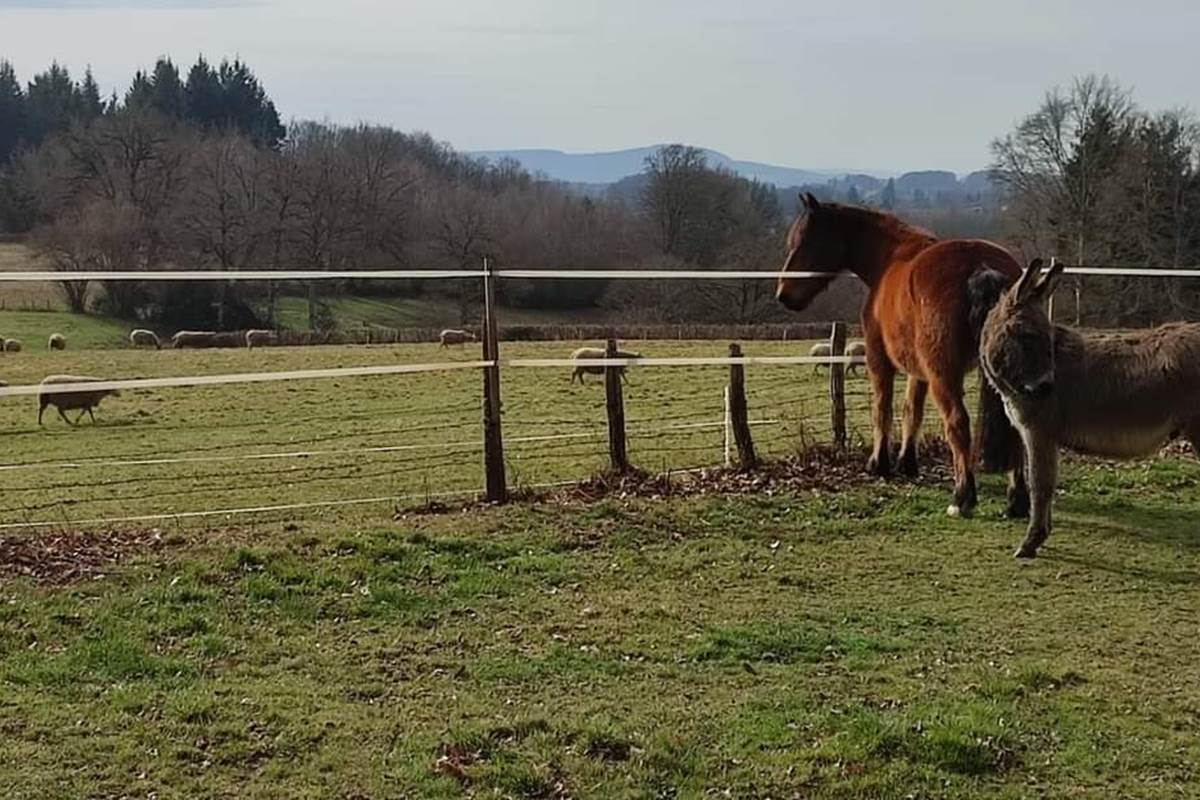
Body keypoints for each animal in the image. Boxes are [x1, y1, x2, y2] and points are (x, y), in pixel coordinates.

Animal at [772, 196, 1027, 515]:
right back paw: (1017, 499)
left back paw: (962, 497)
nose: (783, 294)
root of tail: (981, 266)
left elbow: (882, 408)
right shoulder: (919, 370)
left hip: (944, 376)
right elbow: (911, 410)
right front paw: (907, 462)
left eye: (805, 241)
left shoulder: (878, 360)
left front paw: (879, 464)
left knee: (957, 424)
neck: (890, 258)